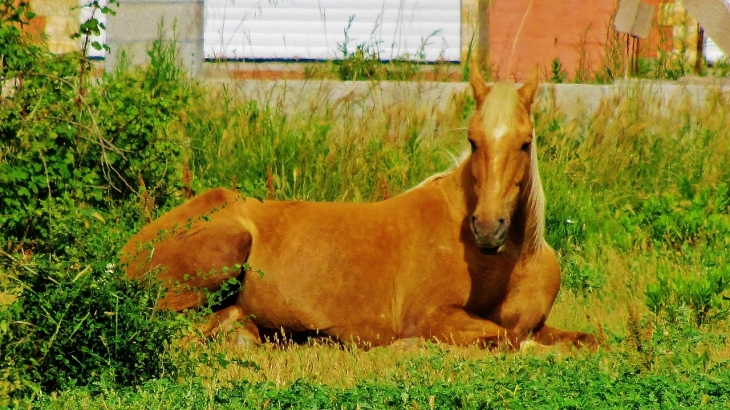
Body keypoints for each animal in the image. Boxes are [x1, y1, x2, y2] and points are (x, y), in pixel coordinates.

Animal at [121, 62, 596, 350]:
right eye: (473, 140)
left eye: (525, 143)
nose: (487, 229)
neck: (508, 264)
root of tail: (127, 251)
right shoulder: (435, 317)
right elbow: (512, 341)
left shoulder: (539, 324)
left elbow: (585, 341)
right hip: (225, 248)